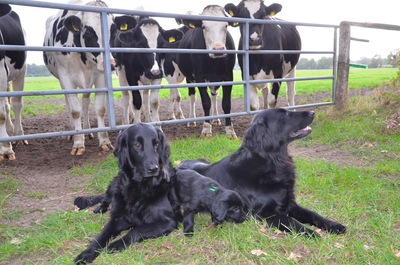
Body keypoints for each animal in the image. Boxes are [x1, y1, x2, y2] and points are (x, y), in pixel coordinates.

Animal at [44, 0, 115, 155]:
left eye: (113, 31)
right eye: (88, 32)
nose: (111, 64)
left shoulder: (101, 75)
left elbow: (100, 108)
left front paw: (104, 141)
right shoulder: (65, 76)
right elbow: (75, 110)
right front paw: (78, 143)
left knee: (86, 103)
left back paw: (87, 131)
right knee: (70, 103)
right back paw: (73, 132)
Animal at [72, 122, 178, 262]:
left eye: (156, 144)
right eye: (137, 145)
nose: (153, 169)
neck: (139, 186)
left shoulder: (168, 221)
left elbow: (136, 230)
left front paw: (115, 244)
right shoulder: (118, 218)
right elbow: (101, 235)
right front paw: (86, 253)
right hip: (116, 183)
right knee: (106, 197)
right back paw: (100, 208)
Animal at [177, 5, 236, 138]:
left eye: (226, 25)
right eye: (204, 26)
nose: (218, 49)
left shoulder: (228, 75)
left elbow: (226, 103)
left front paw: (230, 130)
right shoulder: (199, 76)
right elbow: (206, 101)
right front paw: (206, 128)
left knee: (214, 94)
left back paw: (216, 119)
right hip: (189, 78)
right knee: (192, 96)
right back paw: (192, 120)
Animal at [177, 108, 346, 236]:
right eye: (284, 115)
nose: (312, 112)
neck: (273, 160)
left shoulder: (289, 202)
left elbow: (313, 214)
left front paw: (334, 225)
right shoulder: (265, 213)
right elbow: (292, 222)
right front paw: (312, 233)